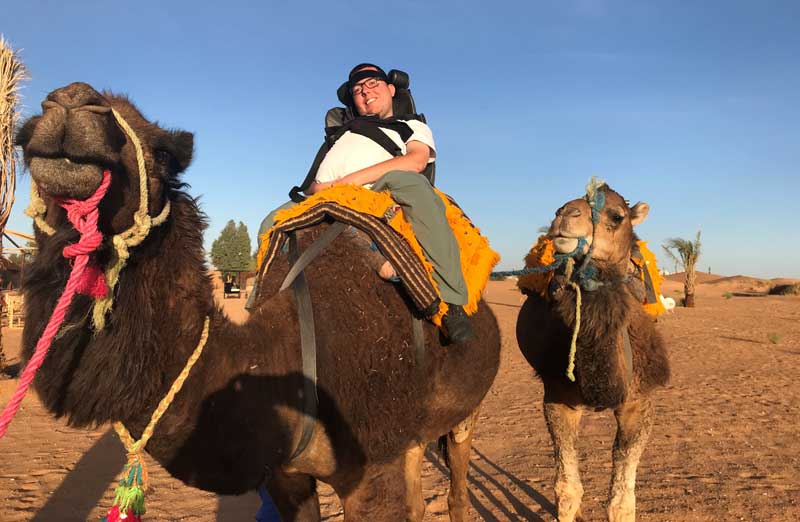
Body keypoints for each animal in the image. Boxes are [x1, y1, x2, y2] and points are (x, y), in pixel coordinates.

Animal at [15, 83, 496, 516]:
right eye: (24, 134)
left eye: (165, 154)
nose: (71, 102)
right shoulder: (287, 476)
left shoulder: (373, 467)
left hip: (464, 414)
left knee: (456, 492)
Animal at [512, 182, 668, 520]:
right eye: (559, 206)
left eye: (616, 215)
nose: (564, 214)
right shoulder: (557, 397)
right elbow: (567, 490)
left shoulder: (639, 401)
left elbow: (622, 502)